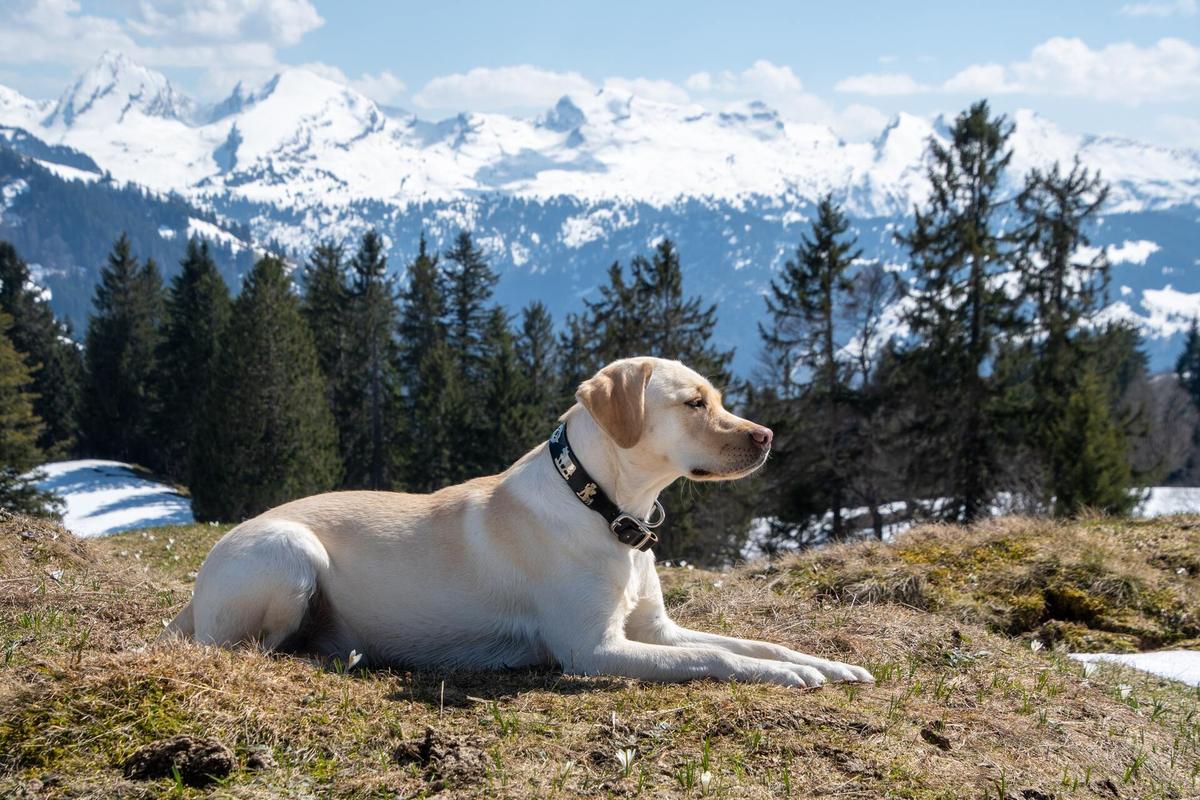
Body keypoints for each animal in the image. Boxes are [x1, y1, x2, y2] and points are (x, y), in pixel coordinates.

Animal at [166, 357, 873, 690]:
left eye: (719, 398)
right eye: (695, 403)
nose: (767, 436)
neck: (604, 507)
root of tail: (193, 593)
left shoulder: (655, 630)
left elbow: (752, 643)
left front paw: (824, 665)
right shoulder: (594, 650)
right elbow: (715, 657)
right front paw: (786, 677)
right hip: (290, 555)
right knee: (246, 648)